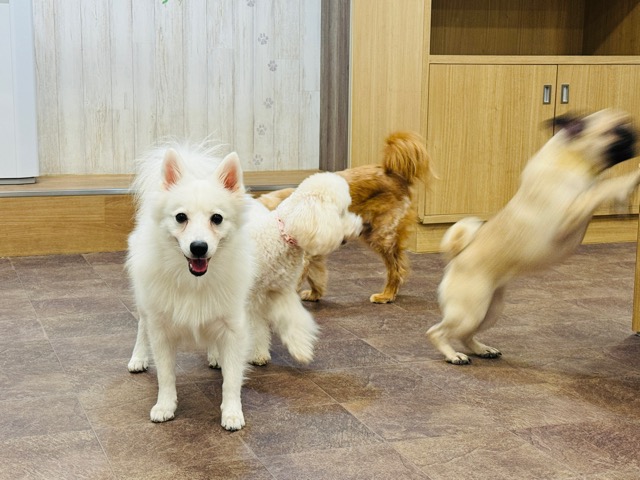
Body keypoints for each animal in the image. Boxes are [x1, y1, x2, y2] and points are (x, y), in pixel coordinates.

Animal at [126, 143, 254, 432]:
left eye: (217, 218)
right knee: (141, 326)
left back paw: (215, 355)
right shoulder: (161, 328)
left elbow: (232, 379)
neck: (195, 281)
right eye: (180, 217)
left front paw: (232, 413)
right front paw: (165, 406)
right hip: (145, 301)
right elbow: (165, 375)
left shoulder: (233, 327)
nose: (198, 247)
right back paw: (138, 358)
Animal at [241, 172, 362, 364]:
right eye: (341, 212)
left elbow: (293, 319)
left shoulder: (281, 290)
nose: (361, 227)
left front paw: (302, 349)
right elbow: (253, 326)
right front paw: (256, 354)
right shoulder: (250, 297)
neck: (279, 237)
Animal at [258, 130, 432, 304]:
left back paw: (387, 294)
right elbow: (316, 276)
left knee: (396, 268)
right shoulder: (313, 254)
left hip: (381, 235)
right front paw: (315, 294)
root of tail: (393, 174)